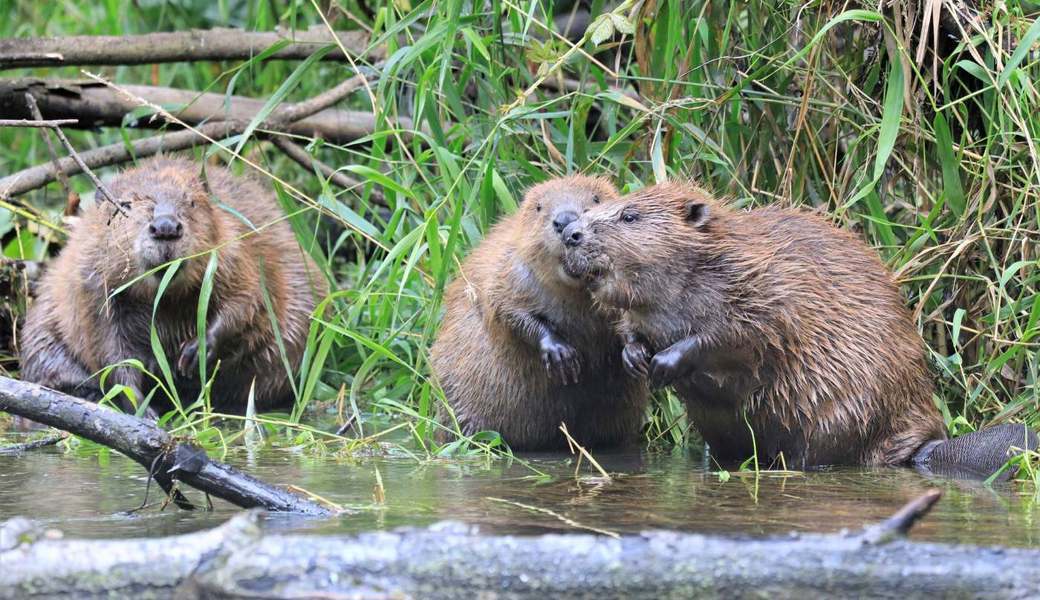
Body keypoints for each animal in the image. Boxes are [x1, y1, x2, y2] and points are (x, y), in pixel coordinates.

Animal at [21, 157, 328, 413]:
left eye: (191, 202)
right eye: (126, 206)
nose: (166, 228)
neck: (163, 295)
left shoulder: (236, 250)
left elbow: (247, 300)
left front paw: (193, 352)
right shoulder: (91, 285)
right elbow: (106, 347)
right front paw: (142, 407)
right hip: (40, 328)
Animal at [428, 175, 640, 447]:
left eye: (596, 198)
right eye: (539, 207)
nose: (566, 221)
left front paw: (634, 354)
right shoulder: (511, 270)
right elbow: (506, 309)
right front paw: (562, 355)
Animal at [565, 179, 1035, 470]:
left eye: (629, 217)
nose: (570, 233)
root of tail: (925, 447)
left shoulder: (772, 286)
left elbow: (743, 334)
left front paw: (666, 362)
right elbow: (628, 325)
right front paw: (634, 356)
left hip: (836, 412)